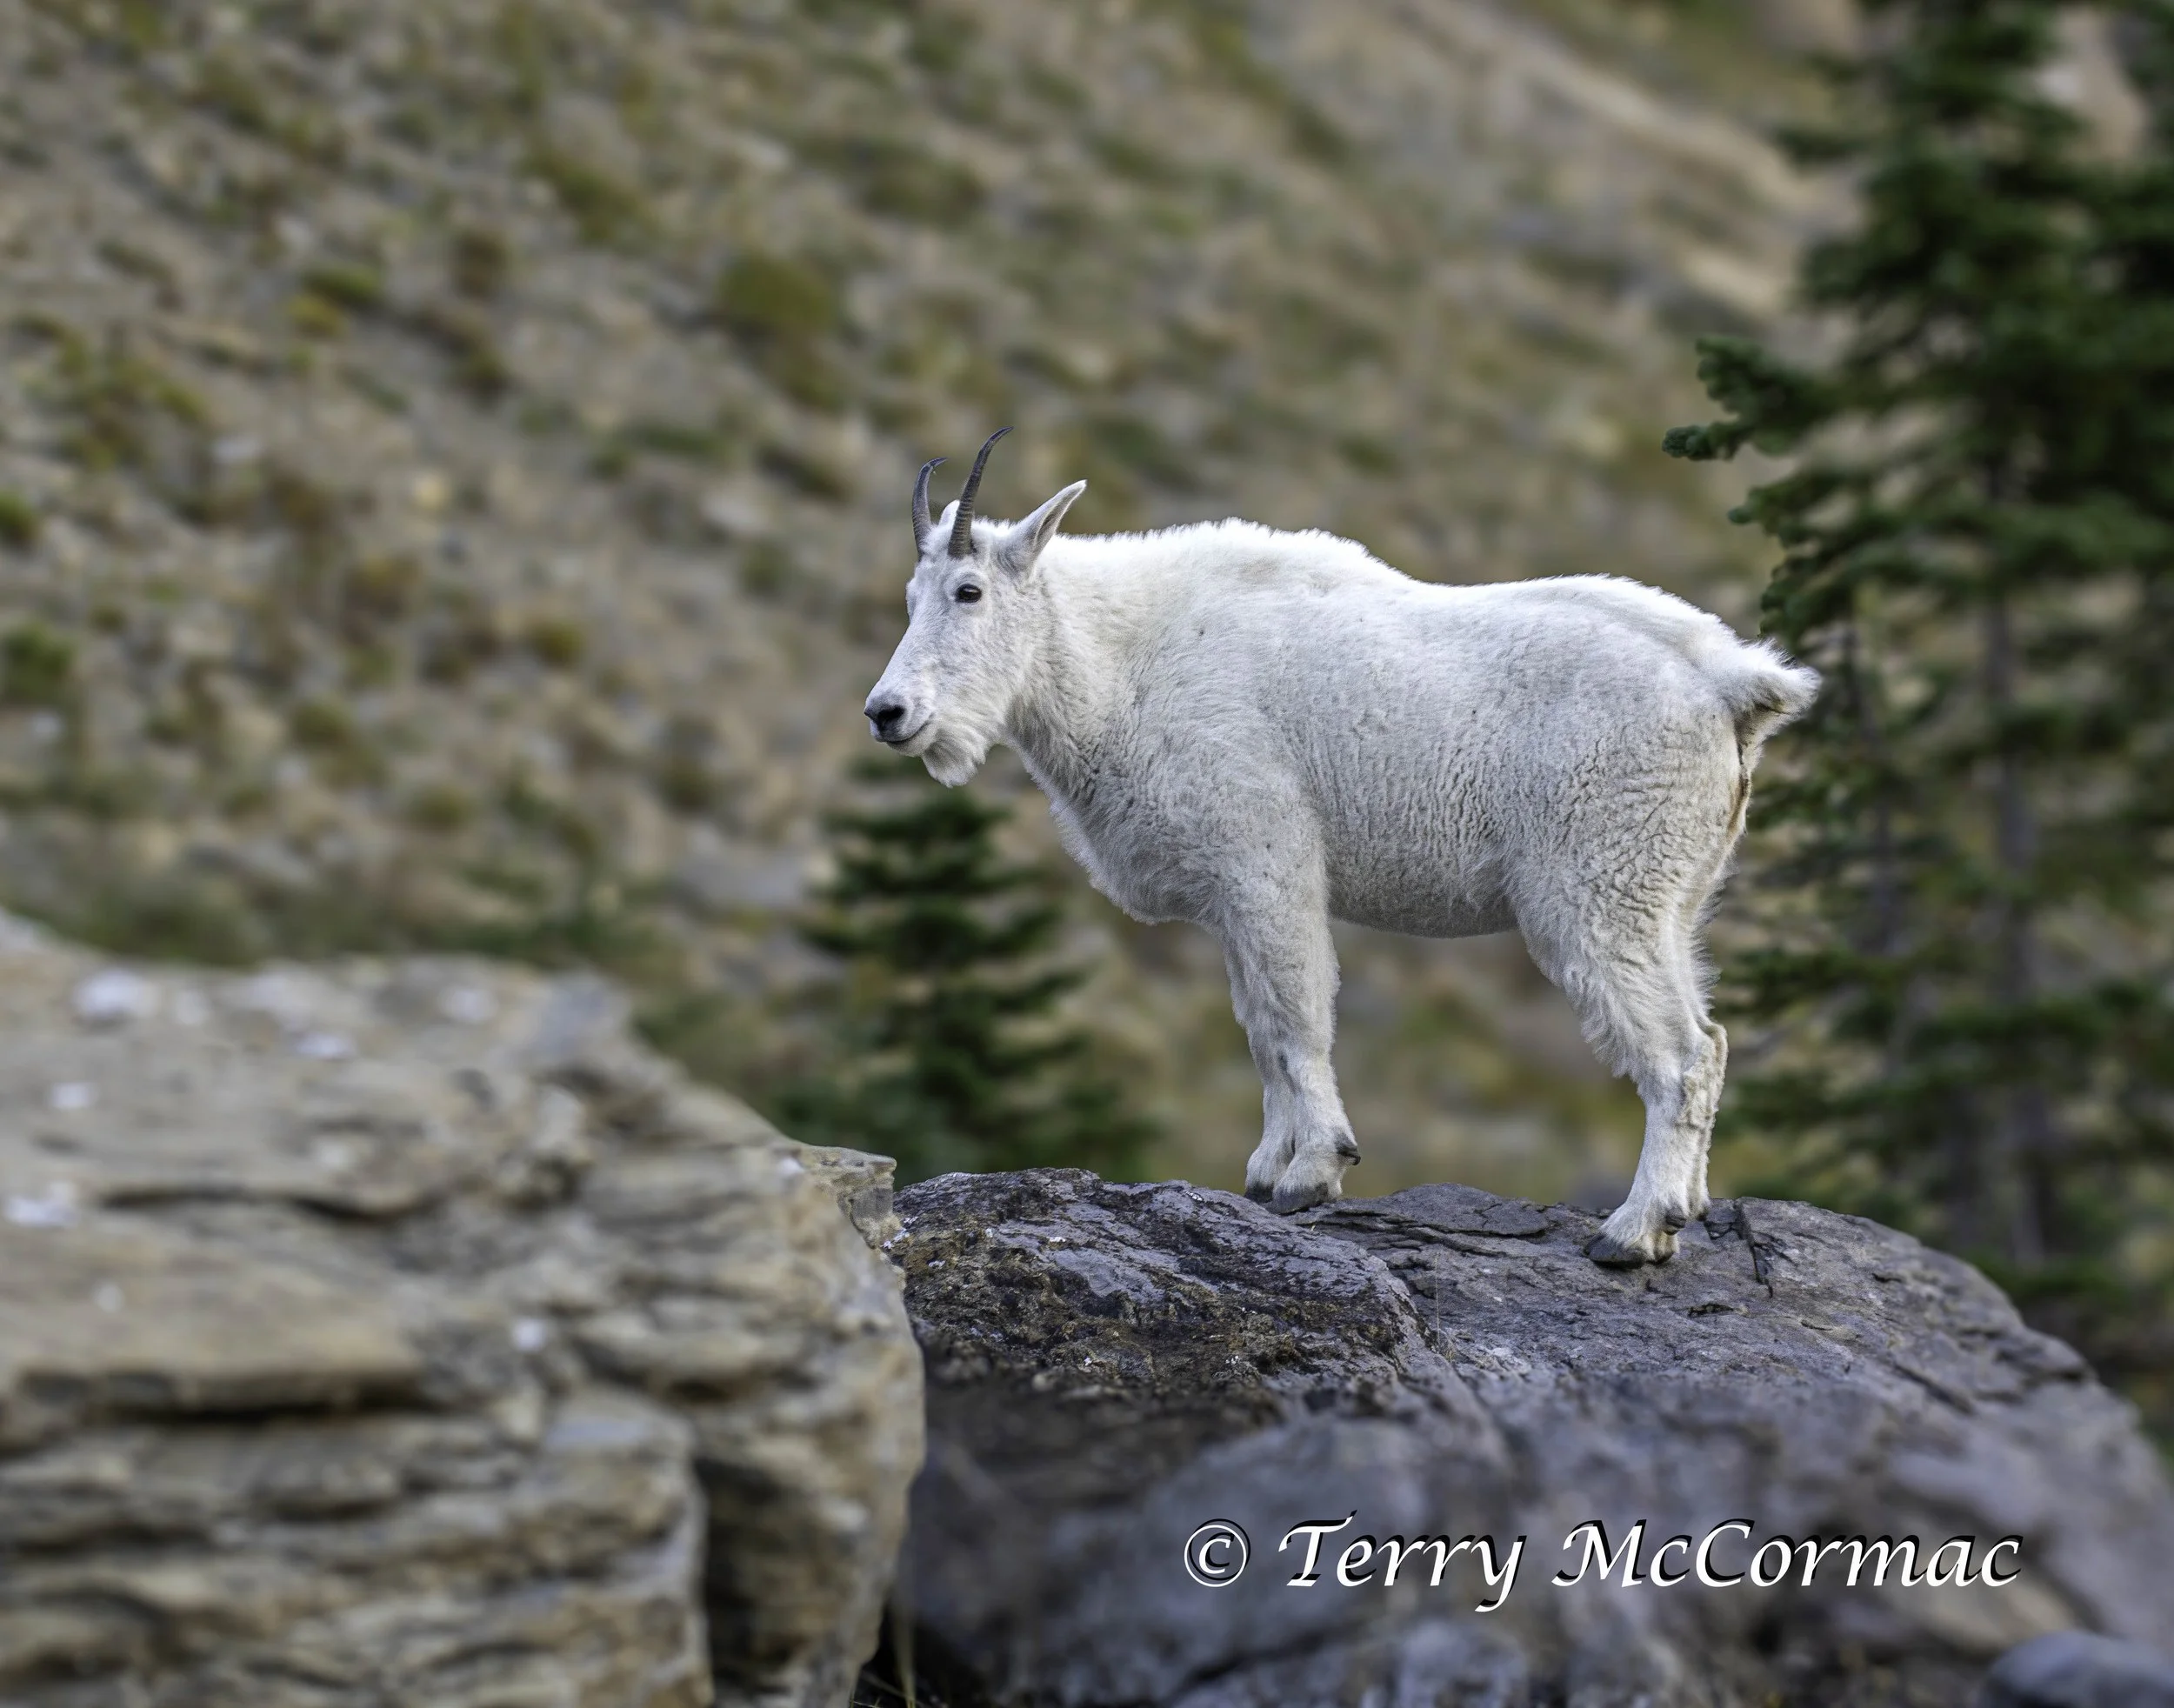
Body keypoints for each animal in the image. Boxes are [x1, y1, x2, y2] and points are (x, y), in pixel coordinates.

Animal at [863, 432, 1817, 1265]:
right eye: (908, 599)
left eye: (969, 592)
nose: (887, 713)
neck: (1120, 664)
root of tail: (1730, 686)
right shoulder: (1235, 895)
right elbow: (1259, 1027)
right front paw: (1265, 1171)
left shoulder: (1265, 858)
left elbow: (1293, 1018)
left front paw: (1312, 1171)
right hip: (1669, 893)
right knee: (1712, 1038)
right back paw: (1686, 1208)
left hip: (1599, 881)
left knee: (1678, 1055)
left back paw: (1632, 1230)